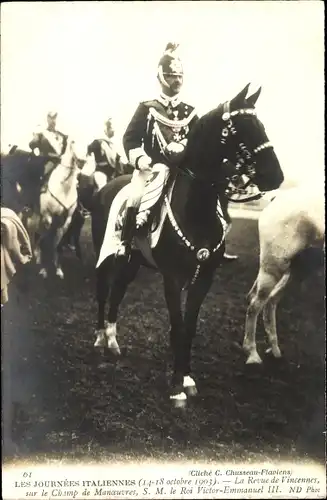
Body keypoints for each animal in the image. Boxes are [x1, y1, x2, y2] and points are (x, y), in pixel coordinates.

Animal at [90, 85, 284, 406]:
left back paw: (113, 340)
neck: (196, 209)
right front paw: (177, 387)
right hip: (105, 256)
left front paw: (188, 378)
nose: (276, 177)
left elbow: (190, 327)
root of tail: (105, 187)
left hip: (131, 262)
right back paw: (98, 336)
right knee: (103, 292)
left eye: (262, 125)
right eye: (243, 127)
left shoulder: (204, 277)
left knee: (117, 292)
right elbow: (177, 327)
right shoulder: (172, 278)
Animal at [243, 182, 326, 366]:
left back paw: (273, 349)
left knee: (269, 300)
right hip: (274, 267)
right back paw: (253, 353)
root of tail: (276, 199)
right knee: (256, 304)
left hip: (295, 270)